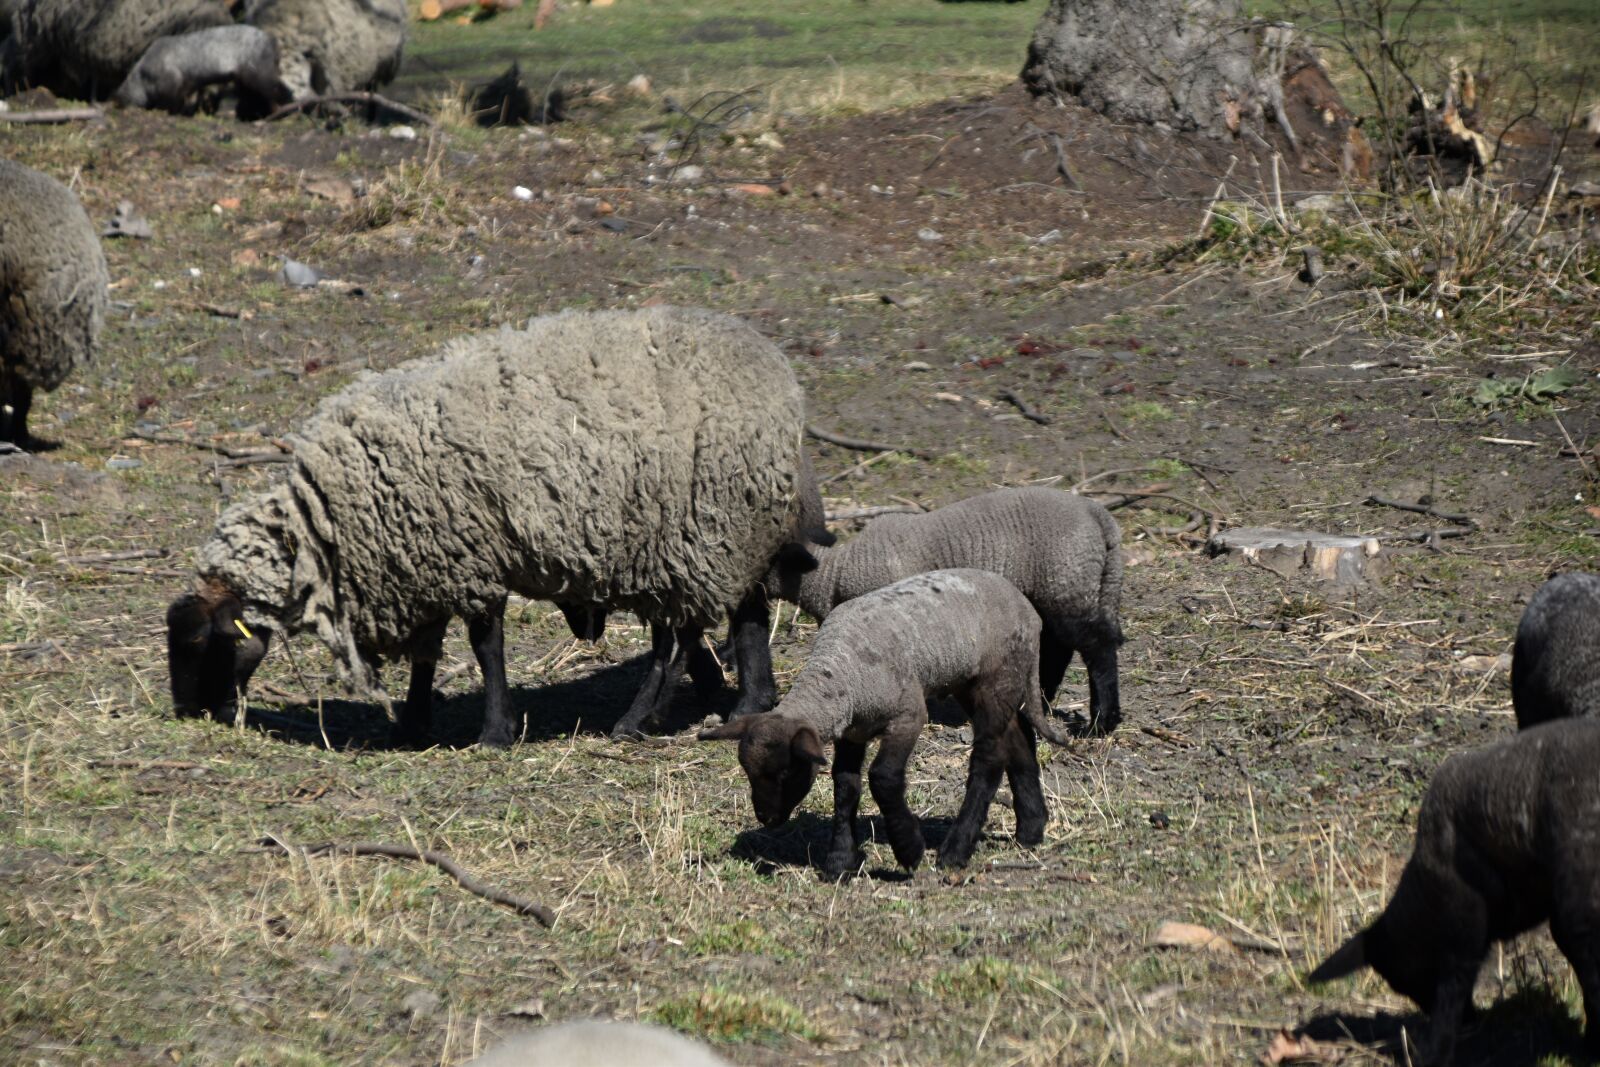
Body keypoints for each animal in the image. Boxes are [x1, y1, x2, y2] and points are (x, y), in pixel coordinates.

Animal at [113, 24, 292, 117]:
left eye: (122, 102)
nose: (119, 106)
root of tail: (272, 41)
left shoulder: (171, 80)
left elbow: (170, 102)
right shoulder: (186, 84)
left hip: (255, 70)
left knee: (272, 88)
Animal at [166, 306, 820, 748]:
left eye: (201, 643)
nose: (190, 712)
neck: (327, 520)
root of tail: (777, 376)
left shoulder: (464, 556)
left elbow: (485, 648)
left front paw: (494, 731)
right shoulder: (420, 566)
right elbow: (428, 650)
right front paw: (414, 720)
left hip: (688, 539)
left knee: (677, 640)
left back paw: (636, 722)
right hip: (728, 531)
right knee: (745, 615)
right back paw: (748, 704)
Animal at [702, 569, 1077, 877]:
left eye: (785, 772)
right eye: (747, 772)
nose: (766, 818)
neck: (840, 674)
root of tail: (1028, 612)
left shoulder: (908, 716)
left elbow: (882, 778)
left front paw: (909, 850)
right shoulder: (852, 732)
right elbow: (845, 786)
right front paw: (840, 861)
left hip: (996, 678)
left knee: (989, 760)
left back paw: (955, 851)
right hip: (975, 683)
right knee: (1018, 739)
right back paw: (1031, 829)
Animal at [774, 487, 1125, 736]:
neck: (836, 573)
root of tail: (1096, 512)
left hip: (1065, 581)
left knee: (1097, 646)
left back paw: (1101, 723)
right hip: (1065, 588)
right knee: (1060, 645)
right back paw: (1038, 701)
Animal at [1308, 717, 1600, 1064]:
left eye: (1404, 980)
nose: (1470, 1020)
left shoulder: (1461, 938)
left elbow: (1450, 997)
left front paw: (1433, 1052)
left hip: (1578, 895)